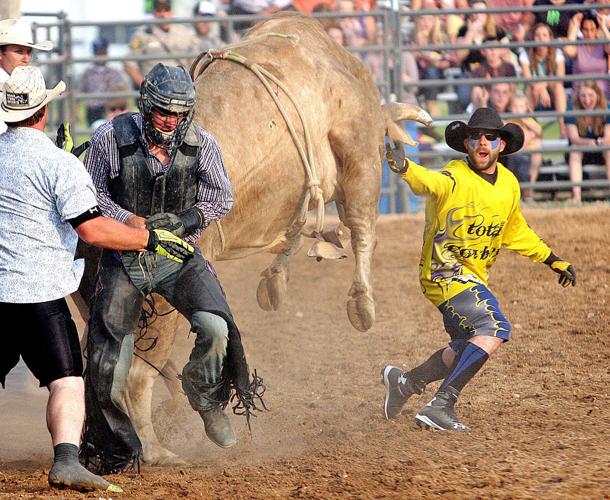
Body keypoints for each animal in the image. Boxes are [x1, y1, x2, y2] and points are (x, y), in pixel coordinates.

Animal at [97, 12, 430, 464]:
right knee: (135, 375)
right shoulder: (357, 148)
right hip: (159, 307)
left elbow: (298, 228)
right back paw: (155, 449)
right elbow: (361, 226)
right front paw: (361, 303)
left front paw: (279, 278)